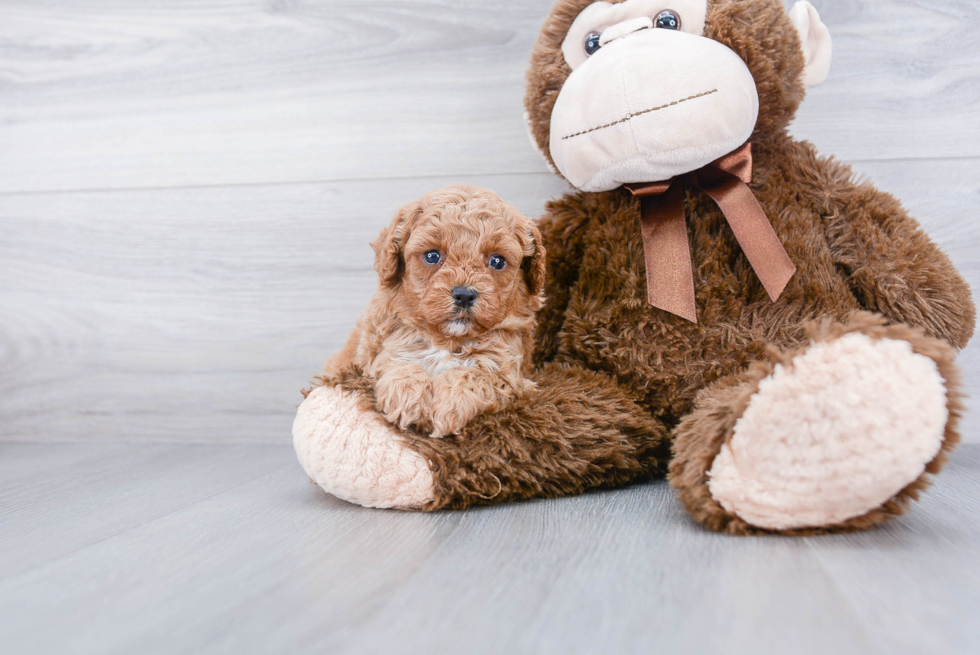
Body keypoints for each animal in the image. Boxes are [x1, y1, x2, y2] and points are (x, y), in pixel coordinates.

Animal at [326, 184, 548, 438]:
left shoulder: (509, 372)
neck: (448, 341)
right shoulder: (383, 348)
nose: (464, 295)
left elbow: (475, 375)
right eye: (432, 256)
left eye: (497, 261)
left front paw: (450, 405)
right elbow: (399, 364)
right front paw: (408, 398)